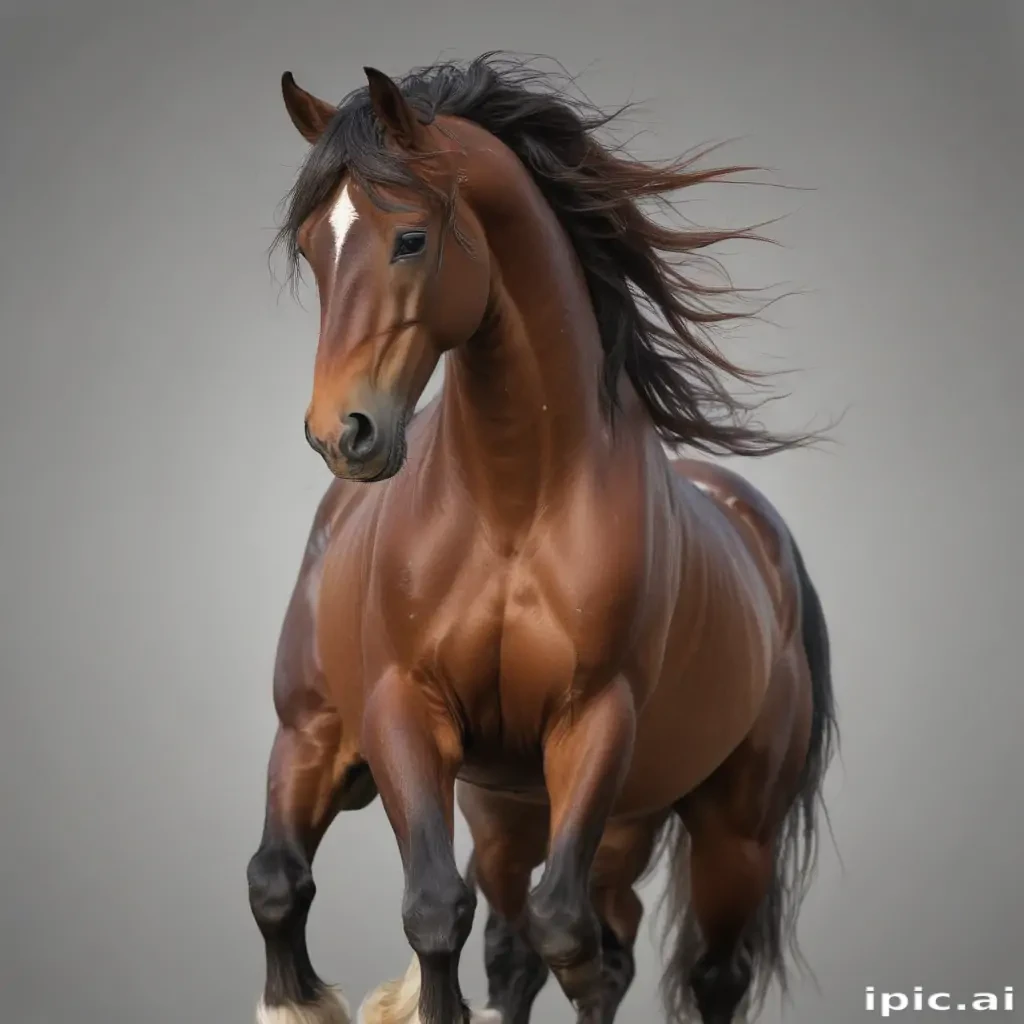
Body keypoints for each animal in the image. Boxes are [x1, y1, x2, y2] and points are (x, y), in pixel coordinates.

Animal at [245, 53, 838, 1024]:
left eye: (410, 239)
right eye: (310, 247)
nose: (342, 434)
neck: (513, 507)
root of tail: (767, 542)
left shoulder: (593, 720)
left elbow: (570, 937)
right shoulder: (388, 713)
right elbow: (405, 906)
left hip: (728, 831)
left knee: (696, 968)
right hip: (507, 806)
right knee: (512, 940)